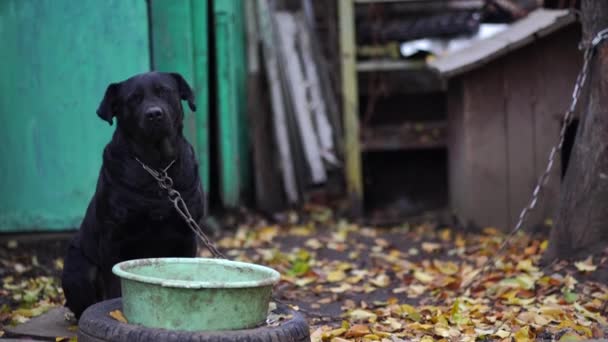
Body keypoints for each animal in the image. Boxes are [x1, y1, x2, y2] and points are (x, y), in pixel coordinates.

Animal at [61, 71, 204, 318]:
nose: (154, 114)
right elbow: (113, 286)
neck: (157, 167)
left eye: (164, 91)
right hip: (77, 267)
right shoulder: (113, 239)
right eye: (133, 99)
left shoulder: (187, 235)